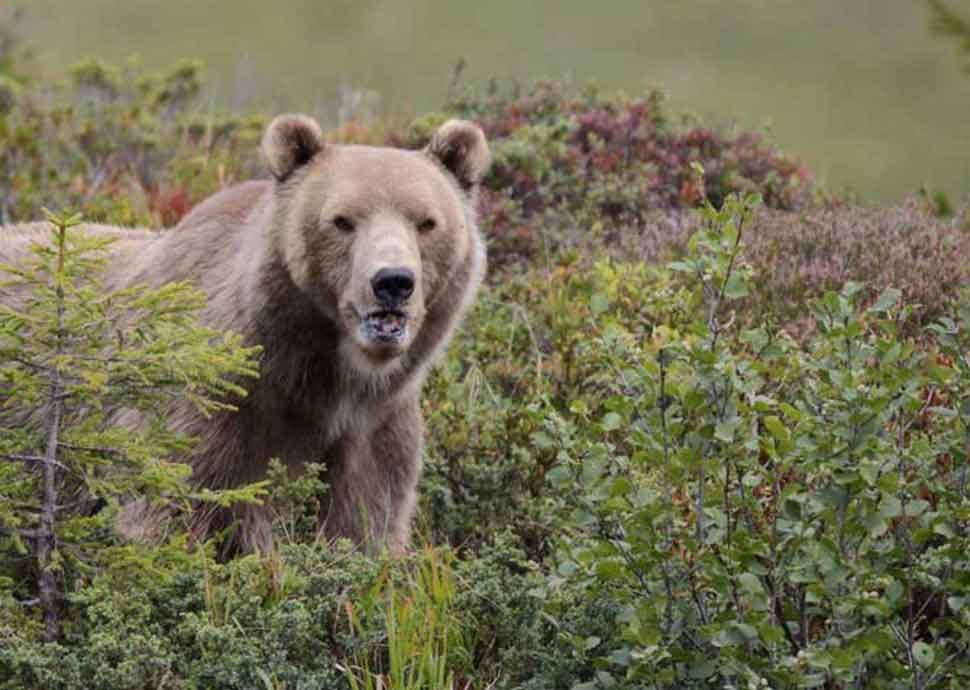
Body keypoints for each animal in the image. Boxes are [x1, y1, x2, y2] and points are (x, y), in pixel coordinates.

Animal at [0, 115, 492, 552]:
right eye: (342, 220)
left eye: (426, 222)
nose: (393, 281)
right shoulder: (208, 414)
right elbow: (171, 514)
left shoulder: (375, 432)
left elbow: (363, 528)